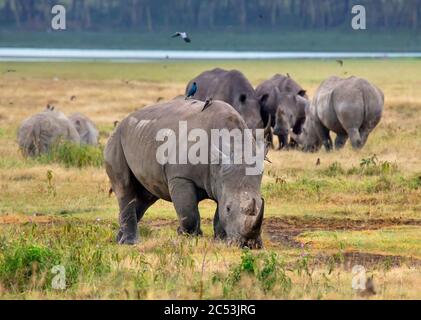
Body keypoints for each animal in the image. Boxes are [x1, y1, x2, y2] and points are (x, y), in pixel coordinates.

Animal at [104, 97, 264, 248]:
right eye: (229, 208)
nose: (249, 244)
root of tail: (123, 121)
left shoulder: (222, 180)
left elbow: (218, 215)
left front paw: (221, 240)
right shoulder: (181, 177)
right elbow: (188, 212)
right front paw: (188, 237)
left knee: (146, 197)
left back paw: (119, 240)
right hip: (116, 140)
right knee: (125, 187)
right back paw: (130, 243)